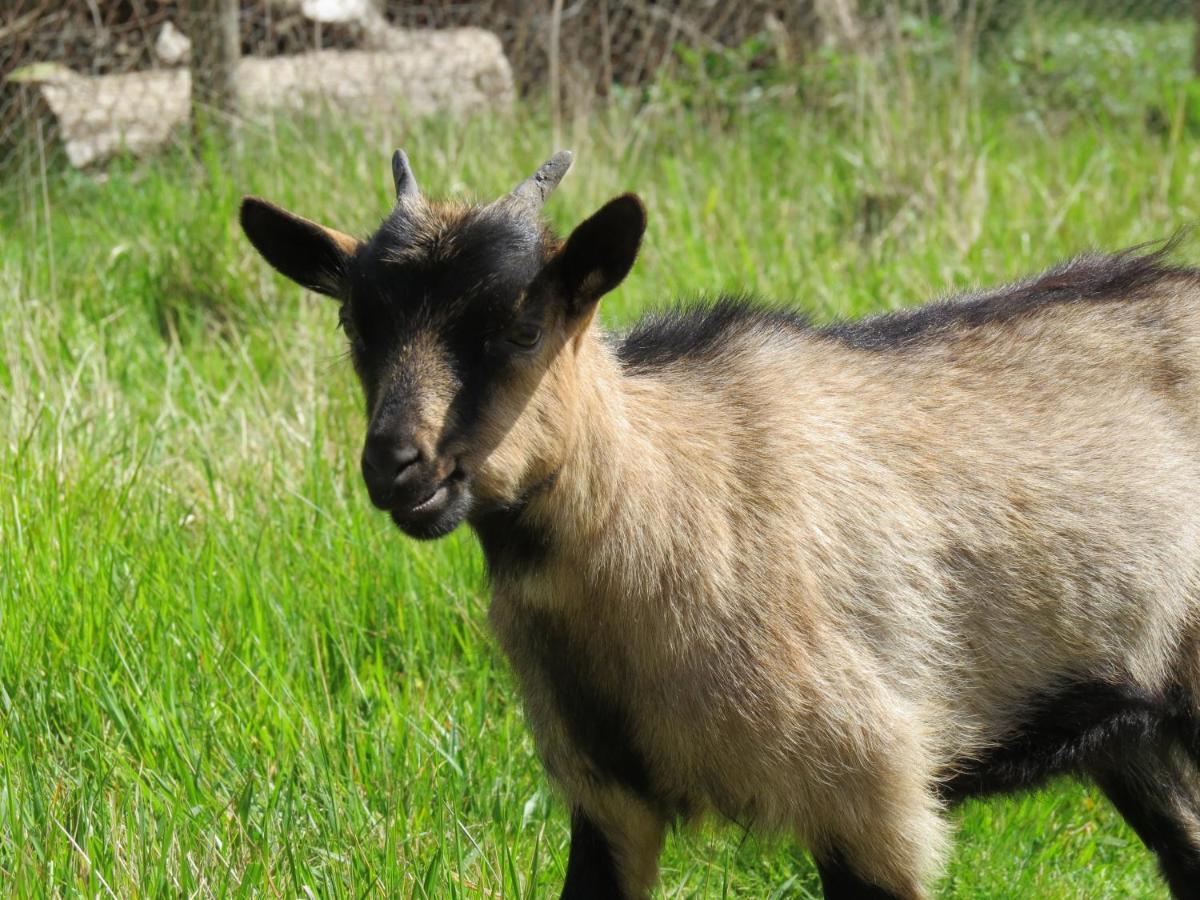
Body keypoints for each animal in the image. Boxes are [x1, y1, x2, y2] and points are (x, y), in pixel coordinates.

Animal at [238, 151, 1200, 897]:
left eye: (521, 324)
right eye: (354, 320)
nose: (397, 466)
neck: (660, 493)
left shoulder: (870, 794)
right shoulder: (607, 798)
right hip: (1136, 728)